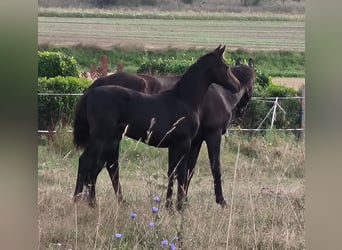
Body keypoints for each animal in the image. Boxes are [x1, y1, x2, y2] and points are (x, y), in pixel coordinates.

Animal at [72, 46, 240, 210]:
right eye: (226, 67)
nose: (237, 86)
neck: (184, 100)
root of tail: (91, 92)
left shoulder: (175, 145)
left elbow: (172, 172)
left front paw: (169, 206)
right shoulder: (185, 143)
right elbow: (182, 173)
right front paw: (180, 207)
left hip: (111, 139)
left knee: (99, 166)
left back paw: (94, 202)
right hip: (100, 138)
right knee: (87, 162)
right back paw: (78, 200)